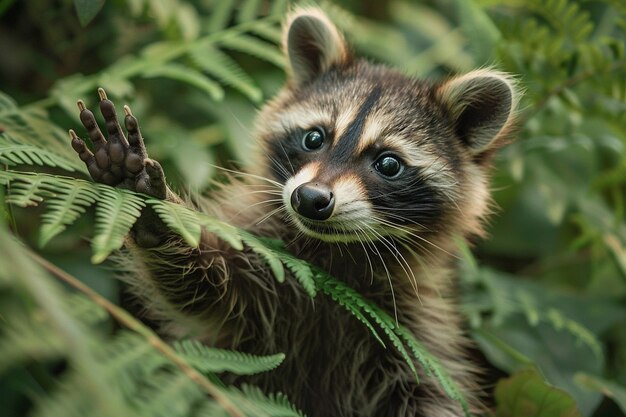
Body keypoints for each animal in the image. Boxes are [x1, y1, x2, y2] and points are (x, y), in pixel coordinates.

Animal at [69, 7, 516, 416]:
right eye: (314, 138)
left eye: (389, 164)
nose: (311, 198)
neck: (333, 254)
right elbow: (203, 286)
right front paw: (156, 214)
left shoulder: (416, 330)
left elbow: (432, 393)